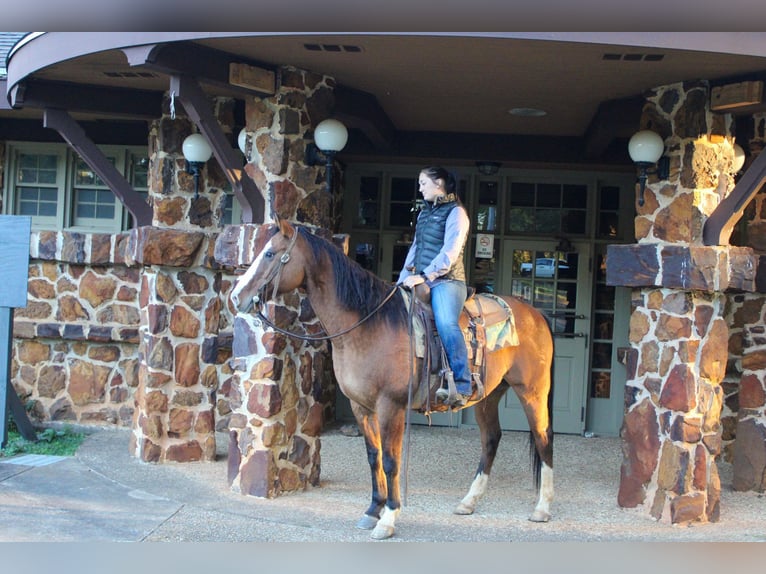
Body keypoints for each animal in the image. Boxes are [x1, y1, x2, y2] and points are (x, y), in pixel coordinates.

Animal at [231, 219, 556, 540]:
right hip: (488, 396)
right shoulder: (361, 406)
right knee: (491, 439)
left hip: (531, 391)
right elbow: (374, 456)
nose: (236, 296)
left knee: (543, 438)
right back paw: (468, 501)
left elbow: (391, 460)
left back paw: (542, 508)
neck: (368, 323)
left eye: (270, 254)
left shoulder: (391, 406)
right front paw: (372, 509)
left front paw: (388, 518)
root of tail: (536, 314)